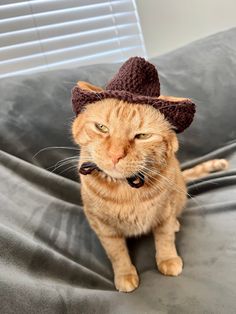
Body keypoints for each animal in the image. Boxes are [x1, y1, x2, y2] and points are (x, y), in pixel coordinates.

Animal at [71, 83, 227, 292]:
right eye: (101, 127)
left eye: (142, 136)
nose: (115, 155)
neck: (126, 190)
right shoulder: (102, 225)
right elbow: (116, 252)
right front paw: (125, 274)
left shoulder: (165, 211)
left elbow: (165, 238)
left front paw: (168, 259)